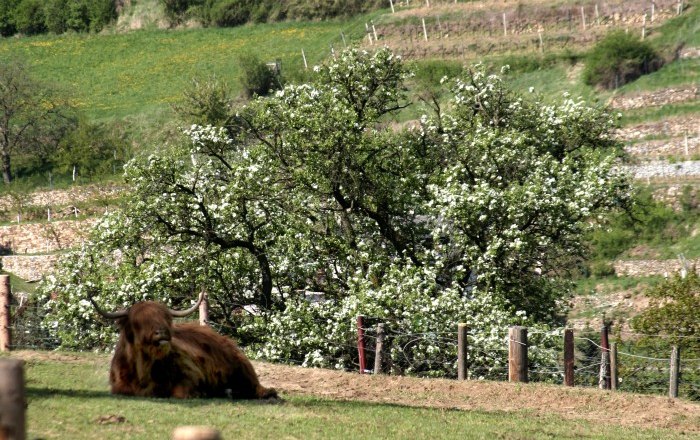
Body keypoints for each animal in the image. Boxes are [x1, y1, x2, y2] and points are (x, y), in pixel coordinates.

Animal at [91, 294, 278, 400]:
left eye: (166, 318)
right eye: (138, 321)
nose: (162, 332)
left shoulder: (190, 374)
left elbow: (180, 392)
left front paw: (201, 393)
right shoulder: (118, 386)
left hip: (242, 365)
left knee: (255, 387)